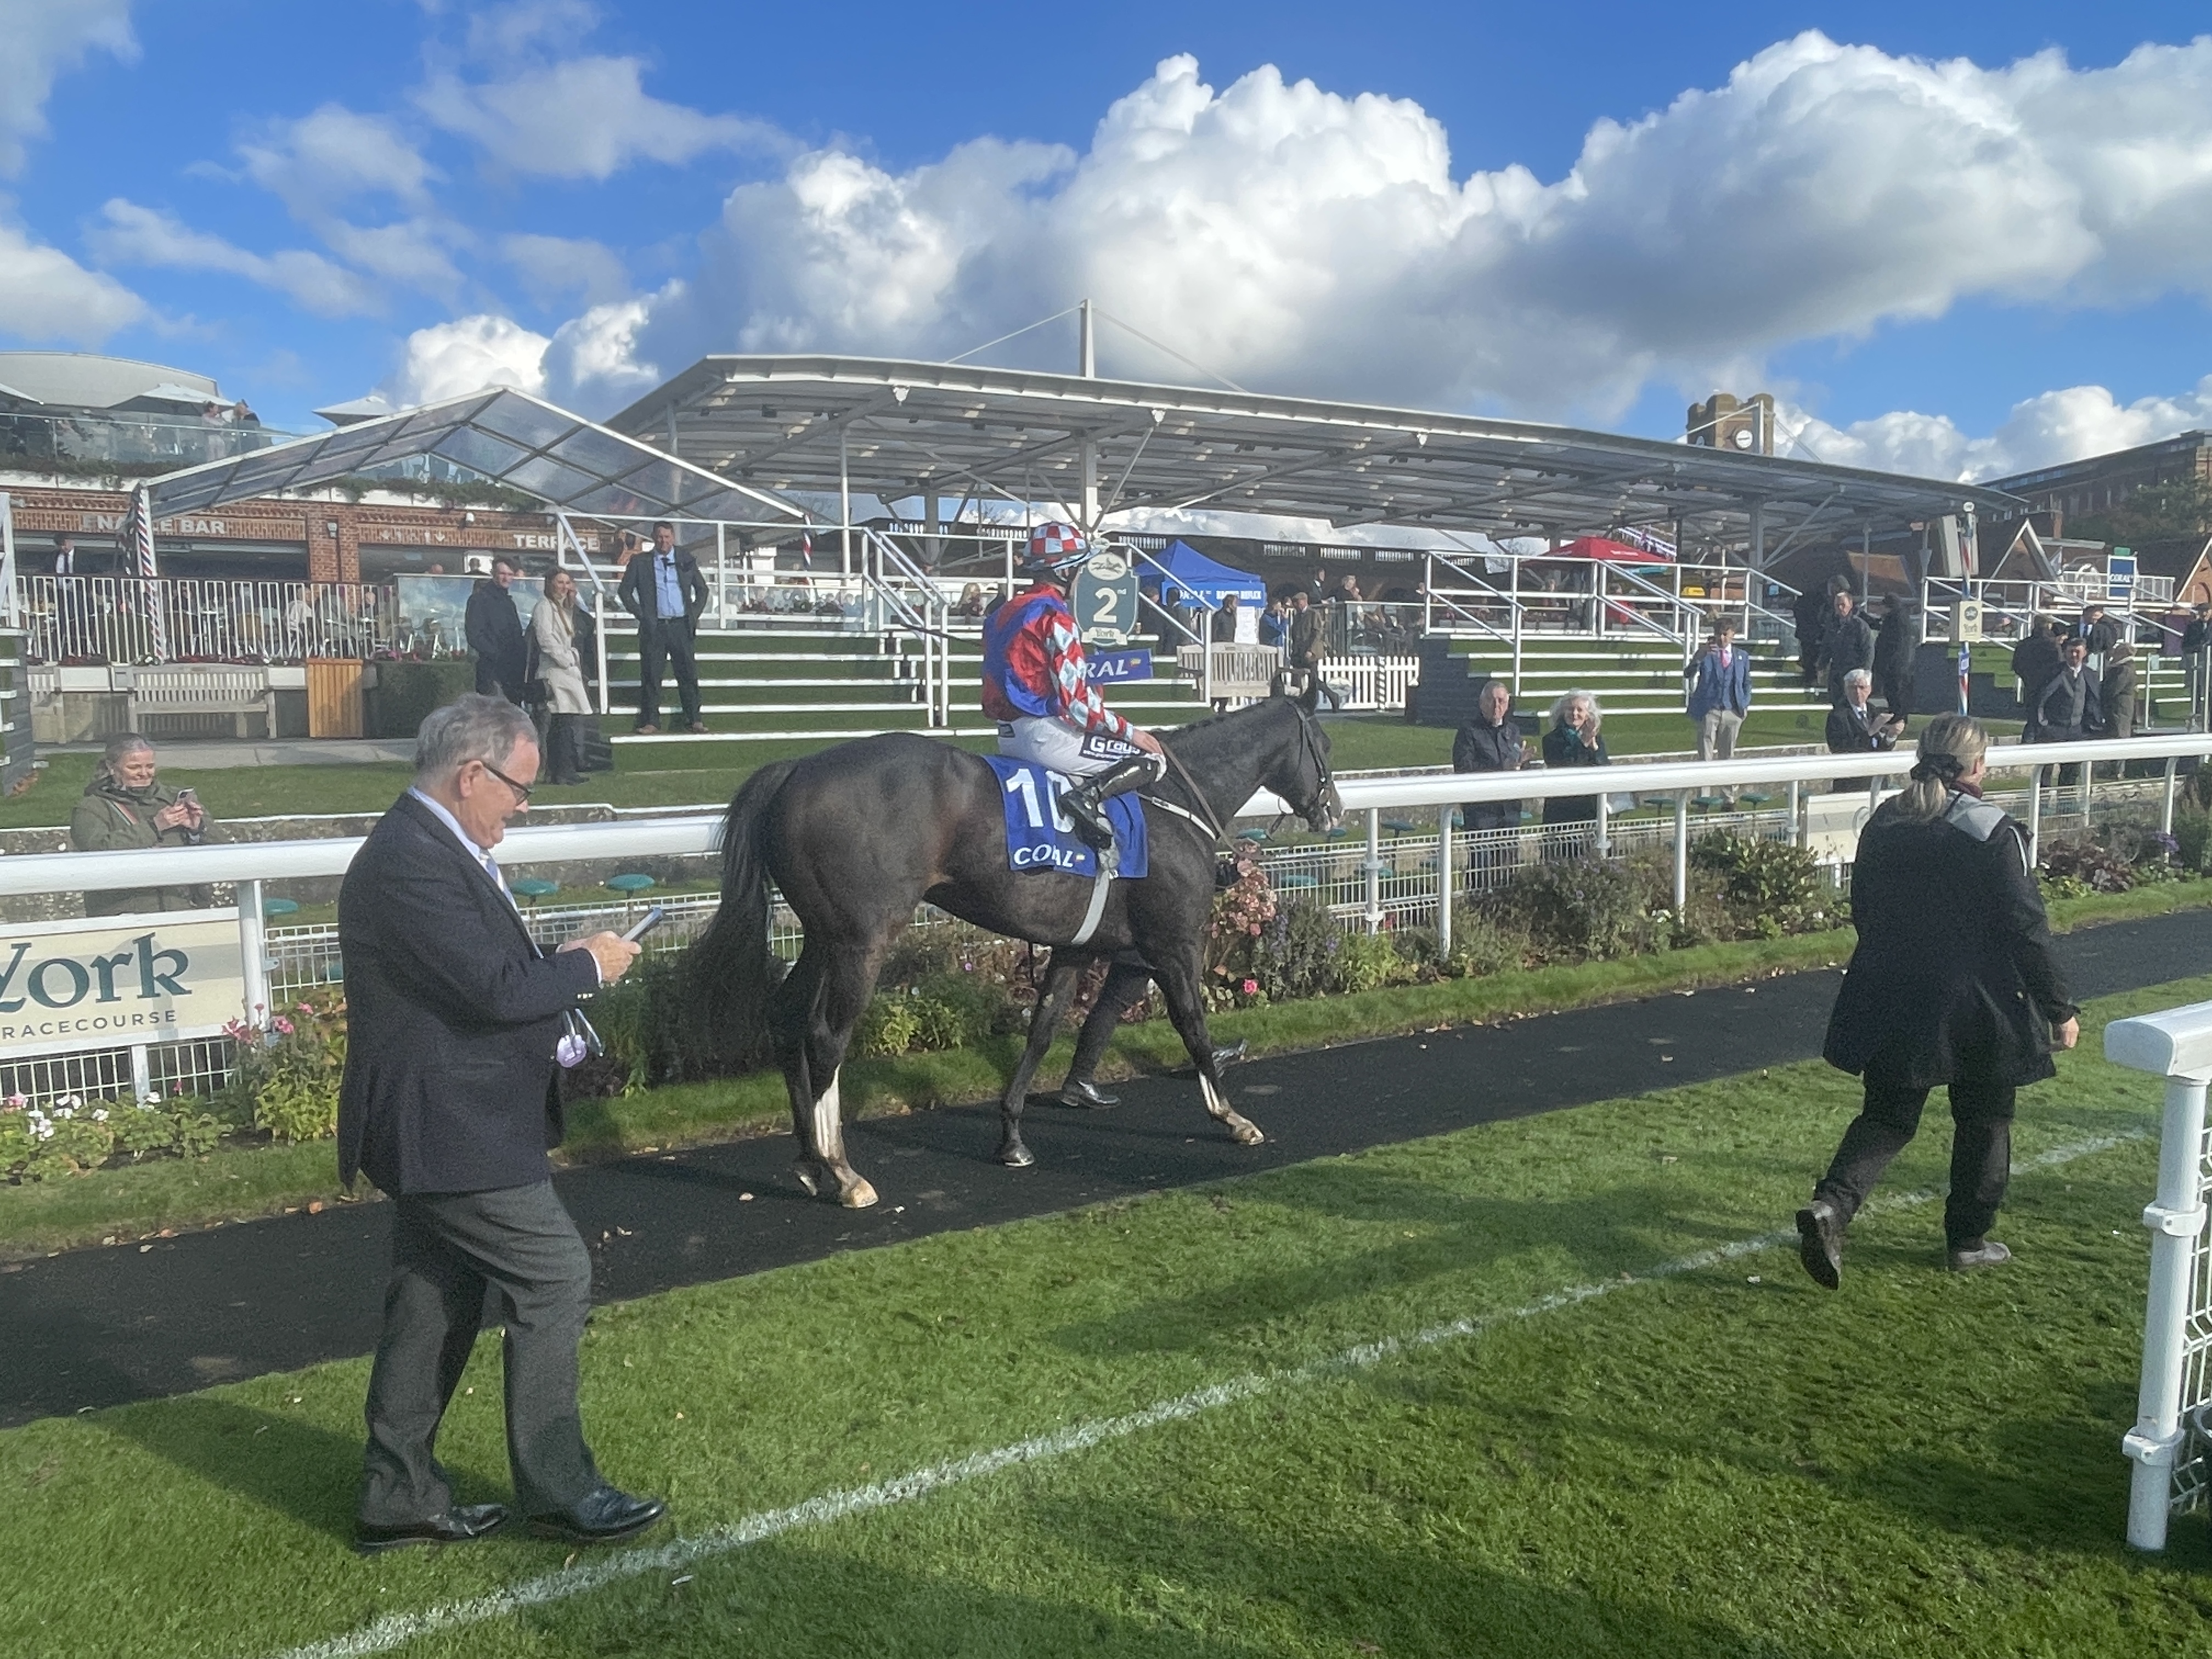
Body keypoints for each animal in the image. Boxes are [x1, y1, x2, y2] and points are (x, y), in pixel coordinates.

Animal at [690, 690, 1336, 1212]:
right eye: (1324, 744)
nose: (1332, 810)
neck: (1174, 800)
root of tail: (795, 769)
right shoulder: (1175, 942)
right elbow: (1193, 1026)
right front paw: (1232, 1118)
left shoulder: (1076, 946)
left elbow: (1043, 1030)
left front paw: (1012, 1138)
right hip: (861, 940)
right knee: (826, 1037)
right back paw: (844, 1173)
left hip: (824, 935)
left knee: (784, 1016)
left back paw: (807, 1162)